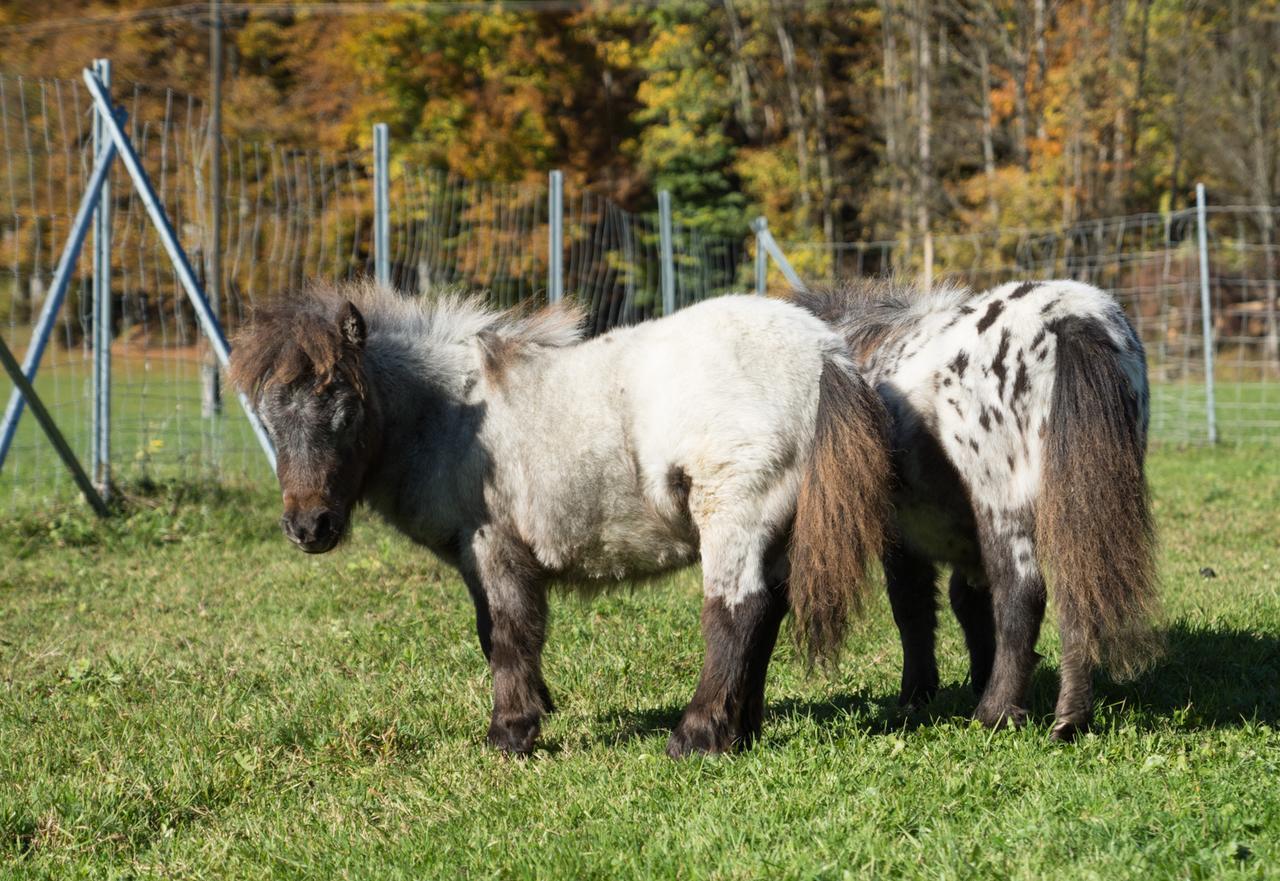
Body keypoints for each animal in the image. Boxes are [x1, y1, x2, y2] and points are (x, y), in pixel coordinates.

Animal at [232, 281, 890, 758]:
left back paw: (696, 738)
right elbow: (493, 633)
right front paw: (535, 711)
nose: (309, 527)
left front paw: (510, 734)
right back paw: (741, 731)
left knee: (736, 614)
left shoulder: (494, 545)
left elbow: (507, 634)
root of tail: (825, 351)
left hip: (735, 516)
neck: (450, 415)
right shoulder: (479, 559)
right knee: (766, 616)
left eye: (346, 409)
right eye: (267, 418)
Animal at [793, 279, 1157, 737]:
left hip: (1004, 505)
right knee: (1078, 593)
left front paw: (916, 695)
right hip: (1076, 514)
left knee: (1022, 595)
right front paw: (977, 678)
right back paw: (1068, 719)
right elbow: (969, 607)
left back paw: (996, 712)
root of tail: (1072, 318)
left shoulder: (901, 538)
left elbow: (912, 609)